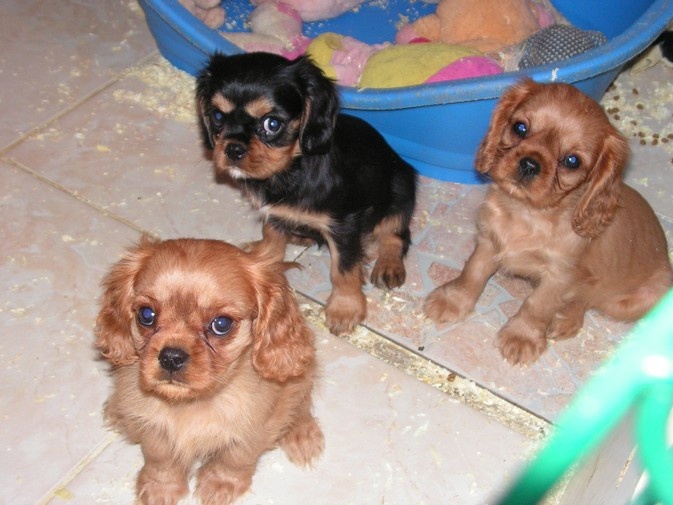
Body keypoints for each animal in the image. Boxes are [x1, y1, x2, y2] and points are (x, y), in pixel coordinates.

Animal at [194, 52, 414, 334]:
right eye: (218, 116)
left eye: (272, 124)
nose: (232, 149)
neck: (291, 168)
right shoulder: (275, 212)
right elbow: (272, 234)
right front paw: (263, 261)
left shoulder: (343, 226)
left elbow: (343, 269)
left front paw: (345, 309)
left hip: (401, 189)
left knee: (396, 233)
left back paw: (388, 264)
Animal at [428, 79, 668, 362]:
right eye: (520, 127)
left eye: (572, 161)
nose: (530, 165)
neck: (528, 214)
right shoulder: (489, 242)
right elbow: (473, 272)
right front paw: (452, 300)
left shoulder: (559, 276)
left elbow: (537, 305)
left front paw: (521, 336)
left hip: (640, 299)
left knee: (588, 300)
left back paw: (566, 319)